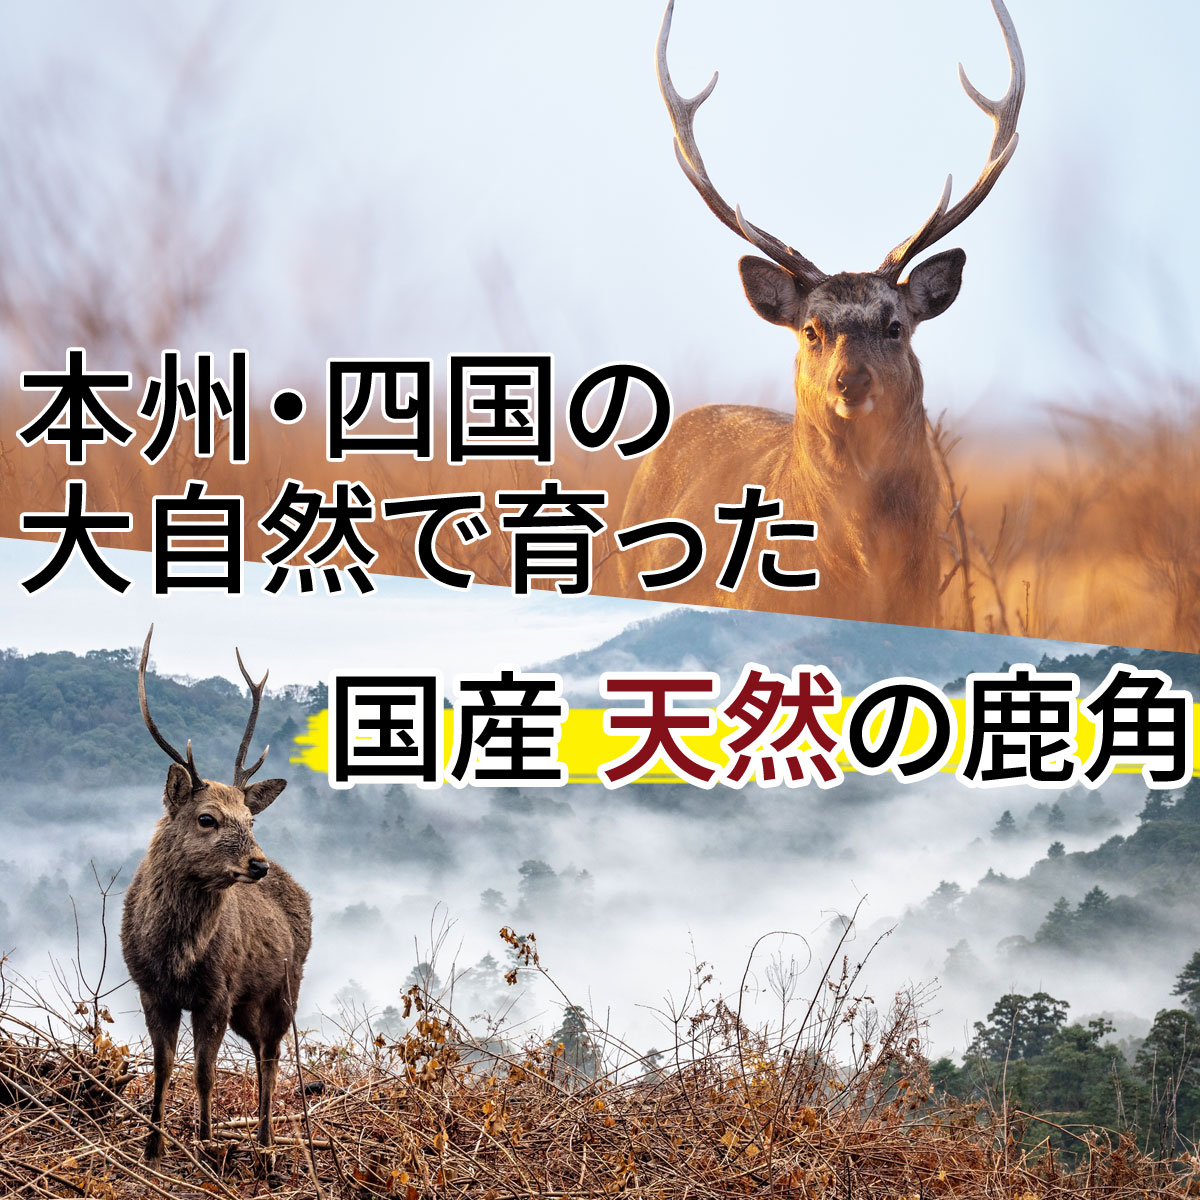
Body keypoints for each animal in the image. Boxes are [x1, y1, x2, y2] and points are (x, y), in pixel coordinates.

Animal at [121, 625, 312, 1162]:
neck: (177, 956)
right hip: (249, 1004)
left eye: (251, 820)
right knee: (261, 1052)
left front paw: (205, 1139)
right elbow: (164, 1067)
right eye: (207, 817)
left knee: (271, 1056)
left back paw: (266, 1141)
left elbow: (204, 1071)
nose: (258, 864)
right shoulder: (150, 989)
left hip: (284, 986)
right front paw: (152, 1146)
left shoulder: (217, 992)